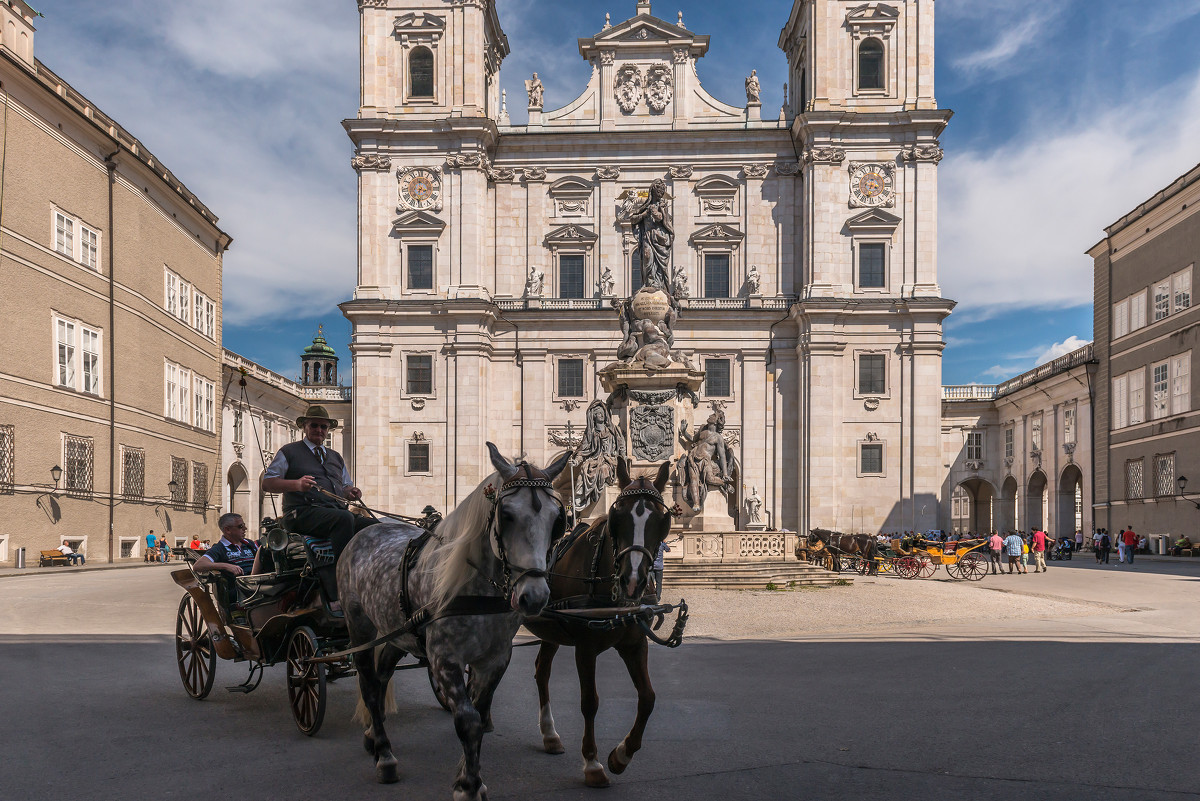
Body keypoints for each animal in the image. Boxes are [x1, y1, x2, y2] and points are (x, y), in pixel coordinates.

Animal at [336, 441, 564, 796]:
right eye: (506, 515)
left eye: (557, 520)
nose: (534, 596)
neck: (478, 589)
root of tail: (369, 529)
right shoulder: (444, 659)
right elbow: (467, 720)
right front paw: (468, 785)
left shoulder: (496, 659)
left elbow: (479, 713)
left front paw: (469, 776)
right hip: (359, 628)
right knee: (370, 685)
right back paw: (385, 756)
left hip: (396, 632)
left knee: (383, 675)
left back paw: (374, 736)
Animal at [525, 455, 676, 786]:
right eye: (617, 516)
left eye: (663, 520)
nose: (633, 581)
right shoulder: (585, 648)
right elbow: (589, 702)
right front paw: (592, 763)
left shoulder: (635, 645)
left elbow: (648, 697)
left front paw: (621, 755)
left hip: (551, 630)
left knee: (541, 671)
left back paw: (550, 735)